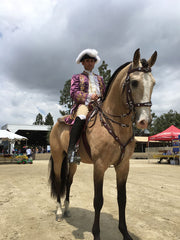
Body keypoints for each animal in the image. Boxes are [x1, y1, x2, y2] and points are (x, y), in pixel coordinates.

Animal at [48, 48, 157, 240]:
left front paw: (125, 232)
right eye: (134, 82)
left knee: (68, 181)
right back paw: (60, 212)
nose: (144, 121)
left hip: (72, 161)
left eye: (154, 83)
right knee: (60, 181)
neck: (116, 125)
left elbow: (122, 199)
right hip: (58, 156)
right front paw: (96, 233)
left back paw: (67, 209)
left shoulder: (123, 166)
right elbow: (98, 200)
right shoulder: (99, 166)